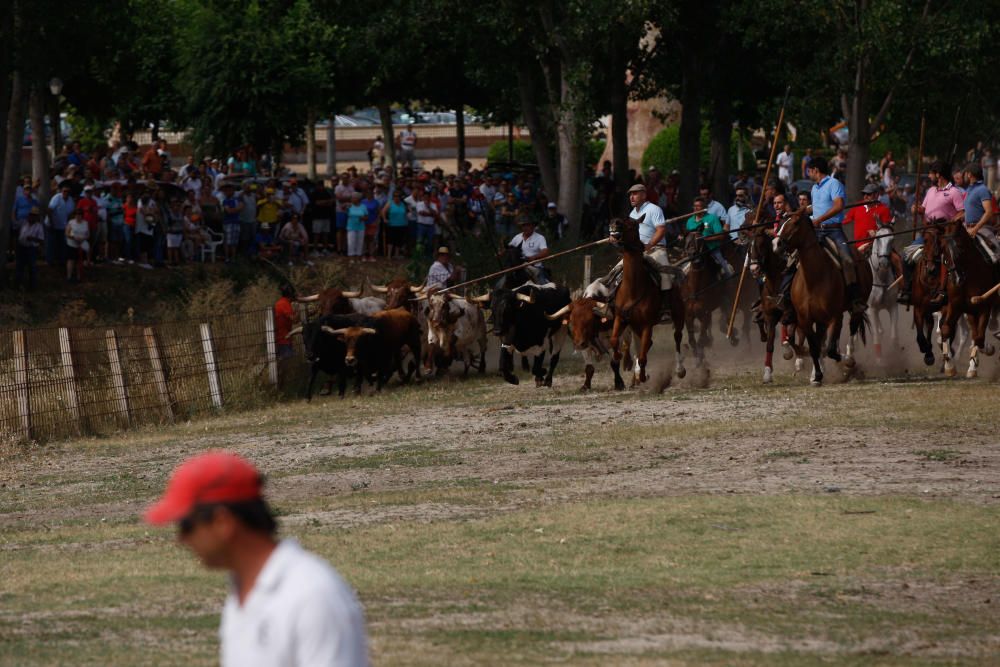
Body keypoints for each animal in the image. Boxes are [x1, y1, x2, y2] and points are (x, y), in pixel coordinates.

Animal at [600, 218, 688, 386]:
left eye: (633, 224)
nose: (614, 223)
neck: (633, 289)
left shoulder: (647, 324)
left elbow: (642, 356)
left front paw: (642, 376)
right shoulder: (621, 318)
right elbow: (615, 340)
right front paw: (619, 357)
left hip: (679, 315)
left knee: (677, 337)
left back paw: (679, 370)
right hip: (635, 324)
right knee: (646, 344)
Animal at [768, 209, 872, 386]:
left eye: (795, 222)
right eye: (781, 222)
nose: (776, 244)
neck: (814, 279)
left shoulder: (834, 317)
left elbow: (829, 349)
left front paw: (844, 361)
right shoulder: (805, 319)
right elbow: (814, 347)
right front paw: (816, 375)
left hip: (857, 307)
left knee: (852, 328)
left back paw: (849, 359)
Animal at [864, 224, 904, 362]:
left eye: (892, 239)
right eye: (878, 238)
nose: (884, 263)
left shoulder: (893, 306)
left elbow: (894, 336)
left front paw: (897, 353)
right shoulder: (871, 309)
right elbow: (876, 335)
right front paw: (879, 359)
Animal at [932, 219, 996, 376]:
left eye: (961, 247)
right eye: (943, 249)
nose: (957, 279)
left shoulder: (984, 306)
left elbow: (979, 338)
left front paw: (987, 350)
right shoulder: (956, 305)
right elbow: (946, 329)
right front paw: (949, 367)